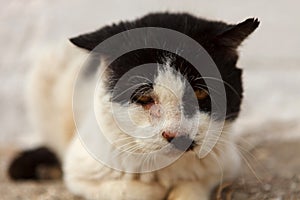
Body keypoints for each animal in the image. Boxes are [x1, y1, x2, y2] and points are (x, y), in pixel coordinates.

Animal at [8, 12, 258, 200]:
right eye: (145, 98)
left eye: (199, 93)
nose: (176, 134)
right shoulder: (78, 171)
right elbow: (133, 191)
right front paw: (154, 188)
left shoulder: (226, 163)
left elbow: (191, 188)